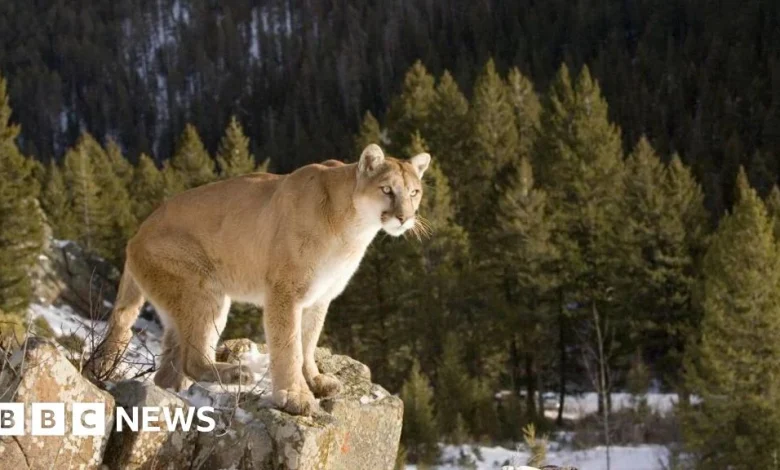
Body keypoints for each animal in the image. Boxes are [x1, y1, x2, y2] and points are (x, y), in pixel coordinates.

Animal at [94, 144, 430, 415]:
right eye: (387, 190)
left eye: (414, 192)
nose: (405, 217)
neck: (353, 227)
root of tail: (135, 235)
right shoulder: (286, 291)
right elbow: (289, 344)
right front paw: (294, 396)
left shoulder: (319, 297)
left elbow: (308, 340)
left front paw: (314, 380)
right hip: (204, 289)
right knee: (191, 360)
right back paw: (235, 374)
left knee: (169, 370)